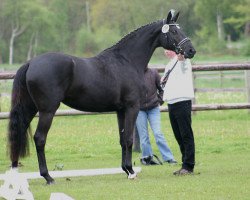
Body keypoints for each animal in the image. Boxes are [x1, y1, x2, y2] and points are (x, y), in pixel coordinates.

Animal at [7, 10, 195, 184]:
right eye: (174, 31)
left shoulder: (120, 110)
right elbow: (128, 139)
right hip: (47, 111)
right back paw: (48, 177)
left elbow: (122, 139)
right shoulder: (132, 107)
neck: (127, 61)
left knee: (18, 134)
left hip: (30, 108)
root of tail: (31, 63)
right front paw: (131, 171)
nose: (191, 50)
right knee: (39, 138)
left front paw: (125, 169)